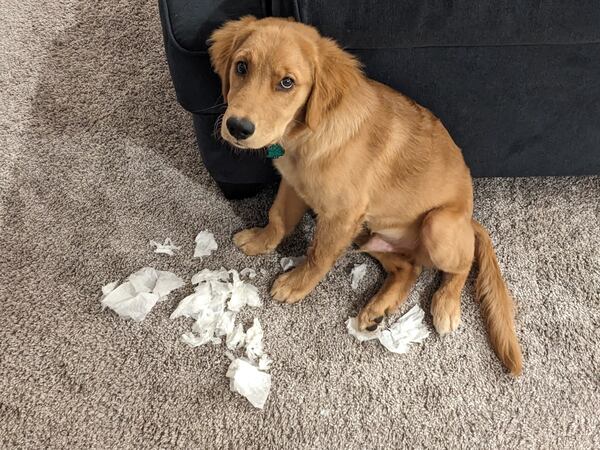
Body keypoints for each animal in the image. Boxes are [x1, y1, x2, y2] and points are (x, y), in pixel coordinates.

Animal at [209, 15, 524, 374]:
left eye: (287, 83)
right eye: (241, 67)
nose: (237, 127)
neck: (307, 135)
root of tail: (469, 221)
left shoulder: (341, 216)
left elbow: (318, 255)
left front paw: (296, 283)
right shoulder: (293, 185)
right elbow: (277, 218)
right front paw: (260, 240)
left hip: (438, 225)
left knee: (462, 263)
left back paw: (445, 304)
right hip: (368, 233)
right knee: (409, 268)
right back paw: (377, 309)